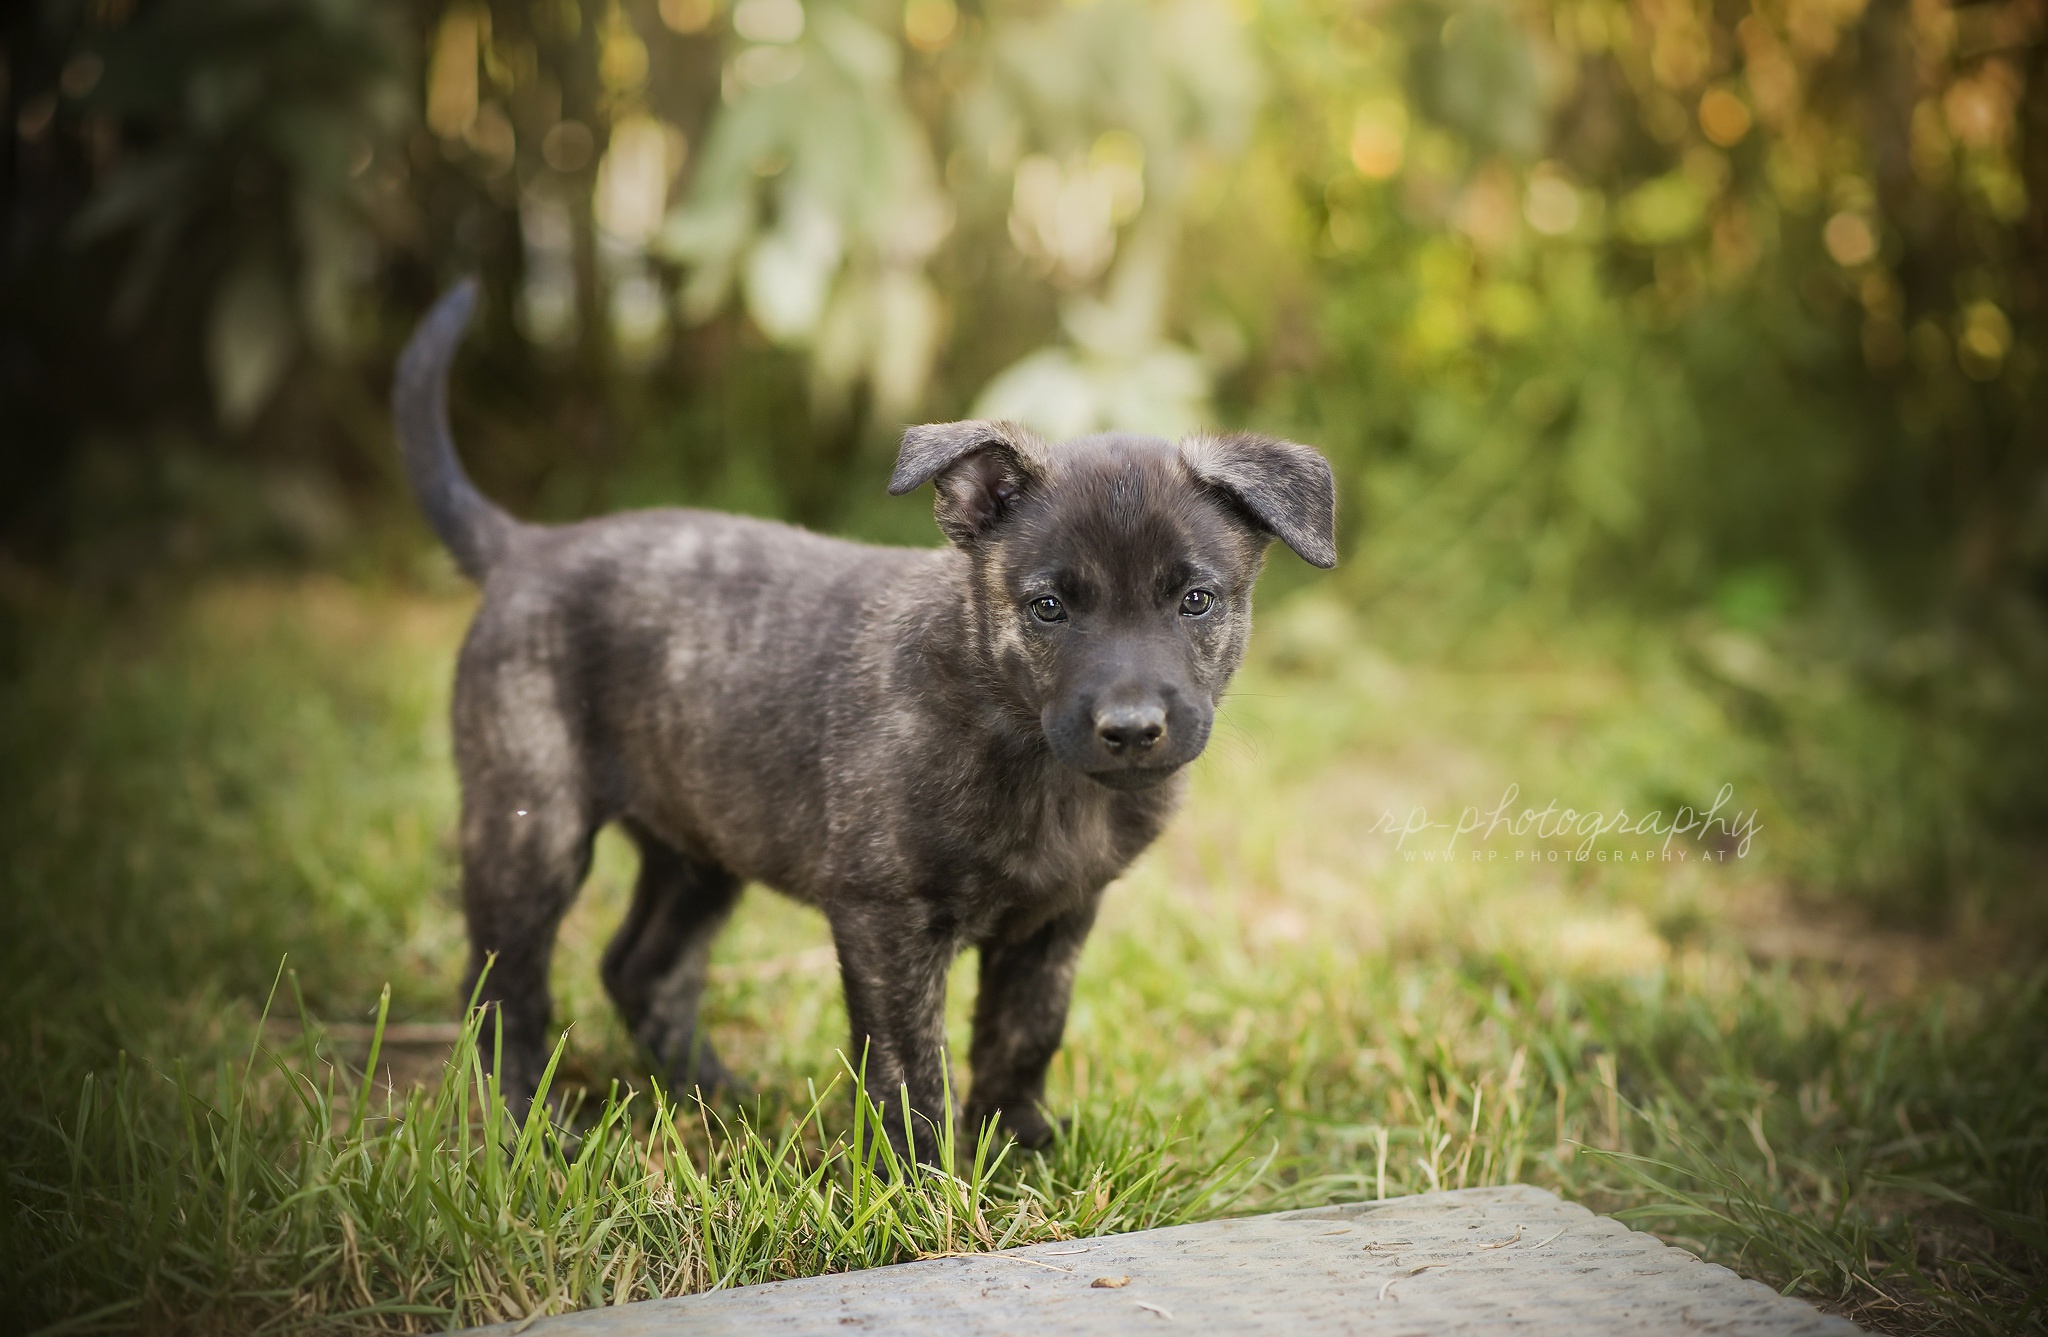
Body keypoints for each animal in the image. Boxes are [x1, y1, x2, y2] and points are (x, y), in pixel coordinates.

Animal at [391, 282, 1335, 1154]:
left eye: (1196, 599)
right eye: (1049, 607)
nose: (1132, 728)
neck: (1023, 739)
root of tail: (527, 547)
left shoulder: (1057, 919)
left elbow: (1027, 1032)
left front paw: (1020, 1145)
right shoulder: (886, 915)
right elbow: (908, 1065)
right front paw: (922, 1181)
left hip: (699, 843)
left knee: (640, 967)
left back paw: (718, 1098)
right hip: (531, 825)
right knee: (503, 990)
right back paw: (530, 1126)